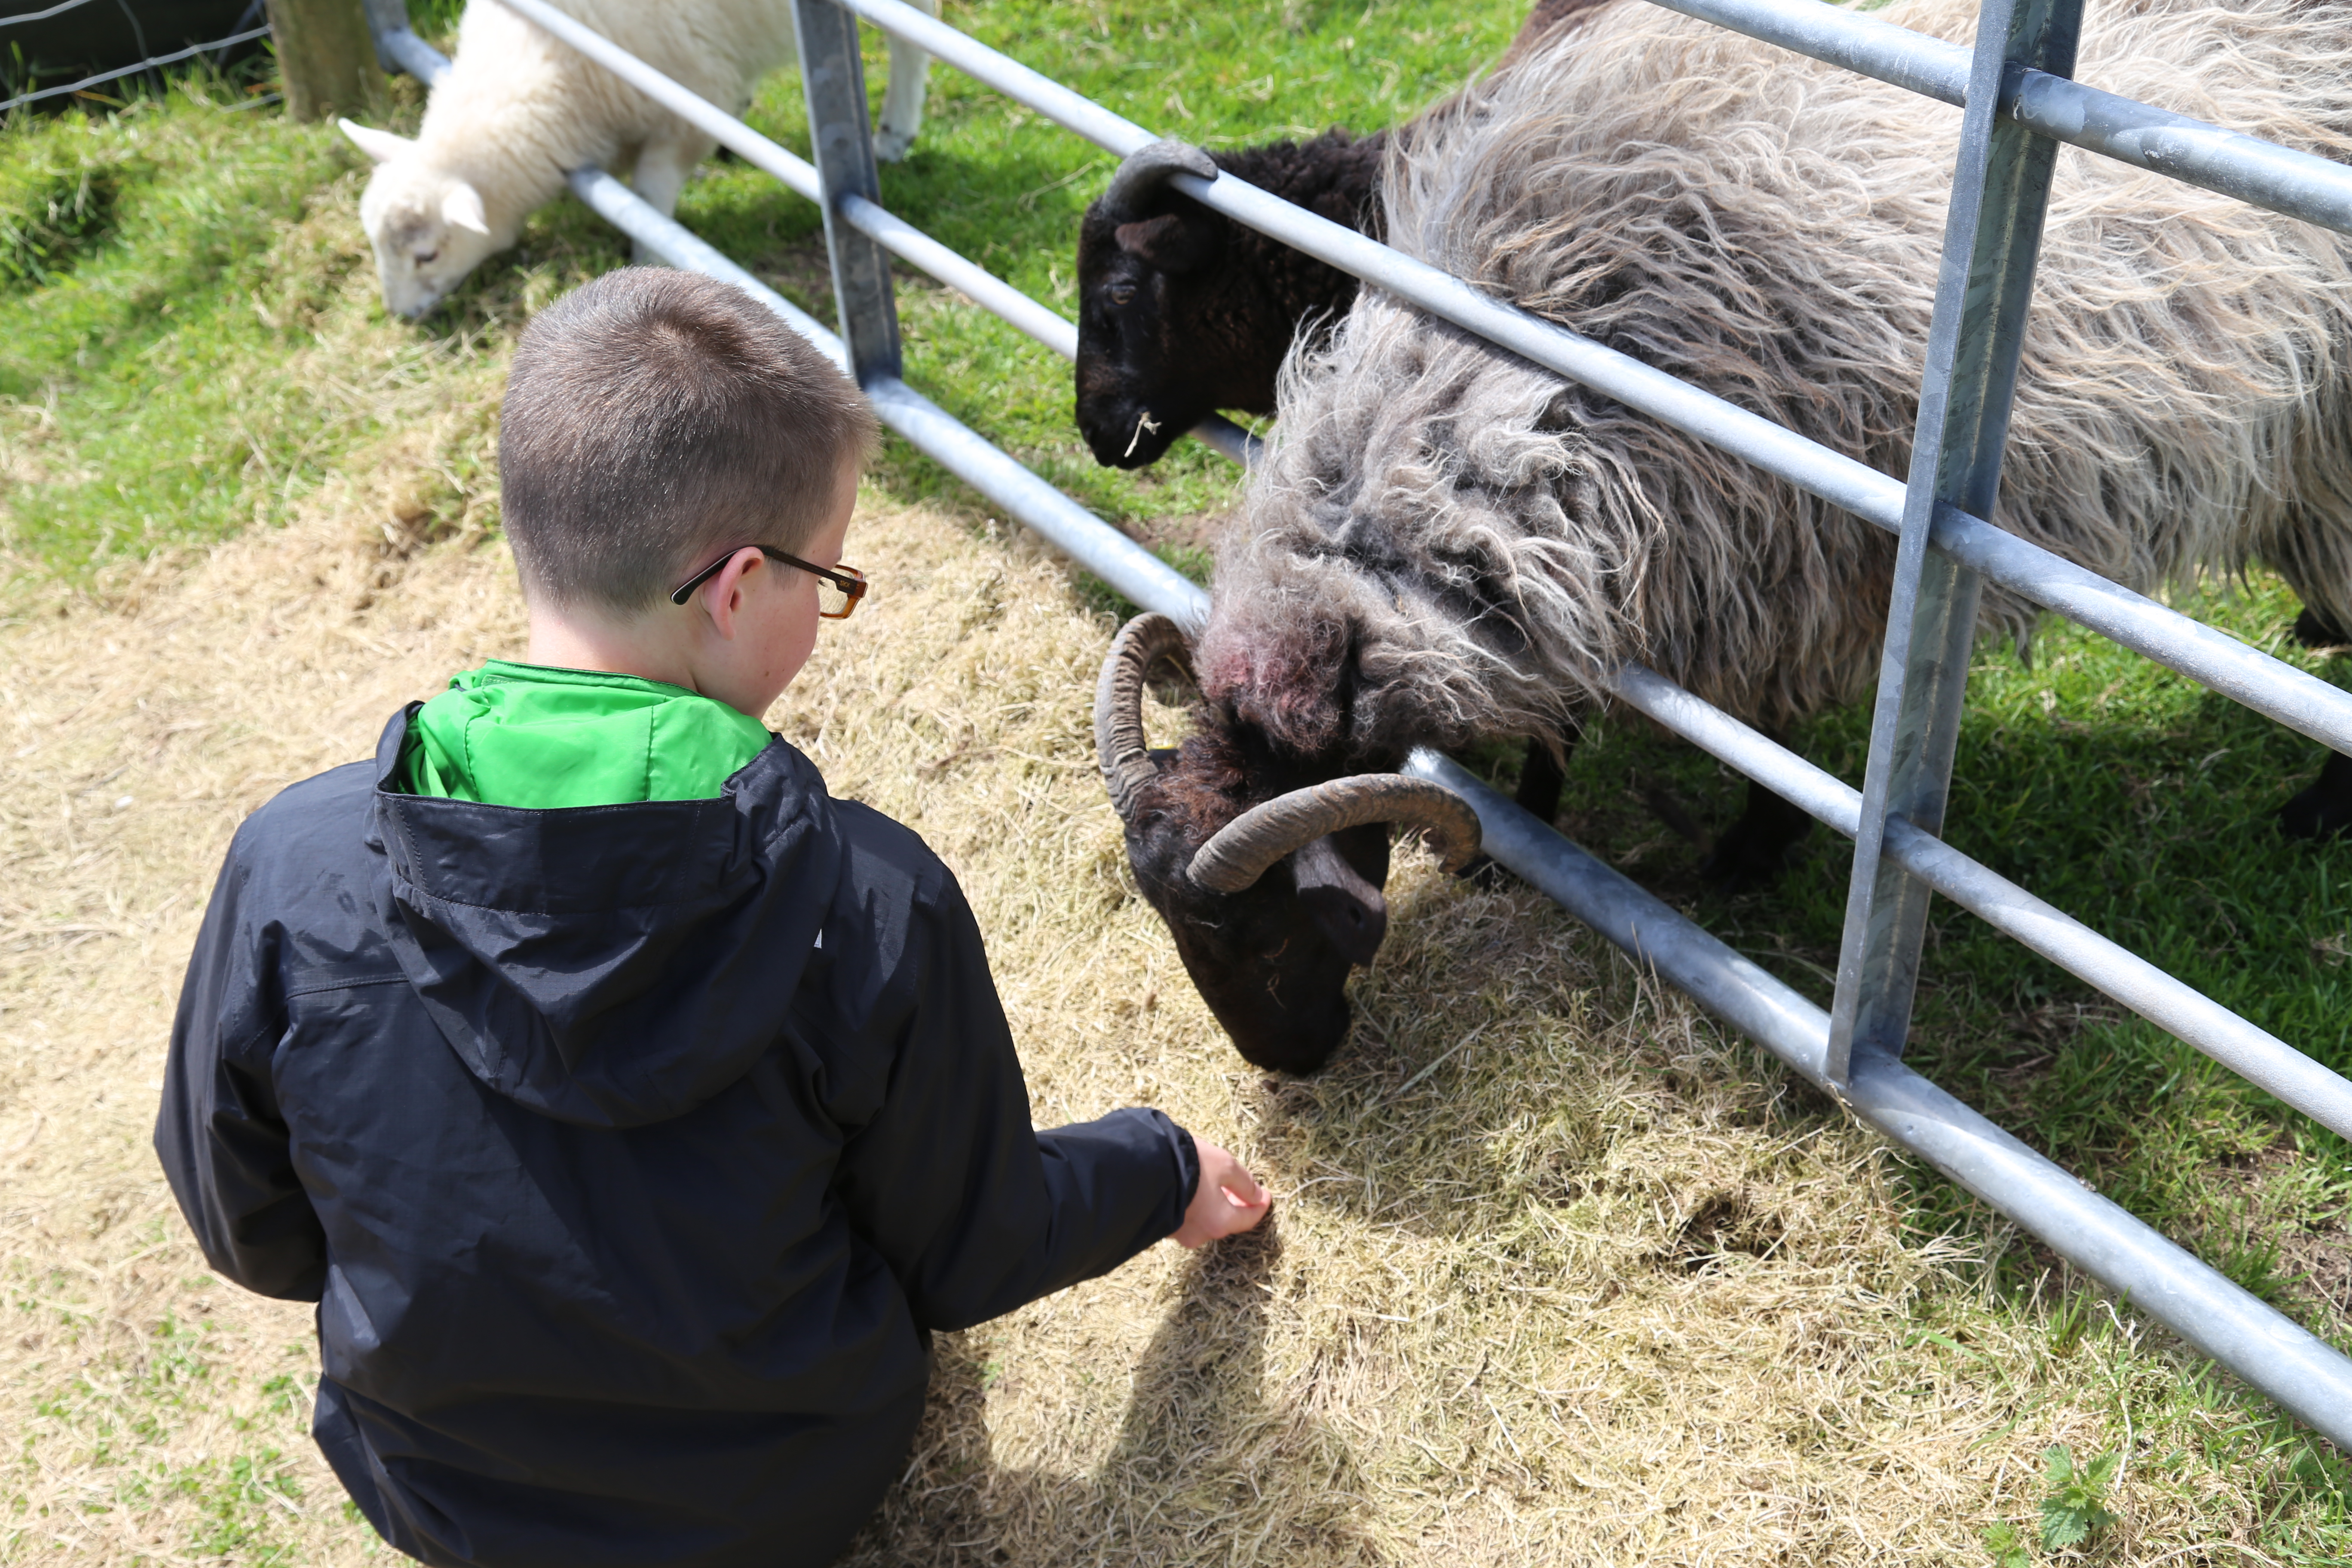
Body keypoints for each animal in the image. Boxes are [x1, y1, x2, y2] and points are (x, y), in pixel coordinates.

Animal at [343, 0, 945, 319]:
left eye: (426, 255)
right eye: (374, 243)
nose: (400, 315)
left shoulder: (687, 102)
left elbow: (652, 195)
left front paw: (646, 259)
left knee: (914, 37)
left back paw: (894, 131)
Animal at [1110, 0, 2352, 1081]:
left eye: (1268, 933)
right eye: (1171, 928)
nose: (1289, 1065)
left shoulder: (1784, 571)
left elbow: (1772, 744)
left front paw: (1741, 855)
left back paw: (2309, 815)